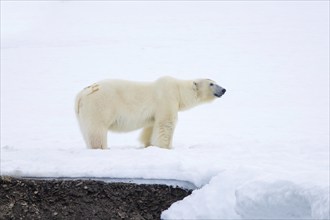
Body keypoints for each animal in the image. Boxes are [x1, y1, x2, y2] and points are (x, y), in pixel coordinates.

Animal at [75, 76, 226, 150]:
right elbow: (166, 124)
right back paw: (102, 148)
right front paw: (167, 147)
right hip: (99, 106)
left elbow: (151, 126)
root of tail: (82, 94)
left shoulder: (155, 112)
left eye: (215, 82)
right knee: (97, 131)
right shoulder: (167, 99)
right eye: (211, 84)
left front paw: (149, 144)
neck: (178, 90)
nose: (224, 89)